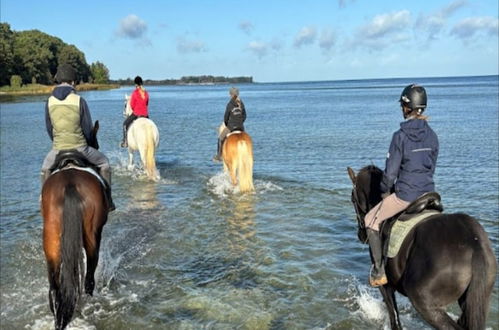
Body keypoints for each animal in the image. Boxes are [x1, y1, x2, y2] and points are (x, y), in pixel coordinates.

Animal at [350, 165, 498, 330]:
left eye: (352, 198)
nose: (361, 235)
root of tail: (474, 244)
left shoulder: (385, 286)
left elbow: (394, 318)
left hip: (424, 303)